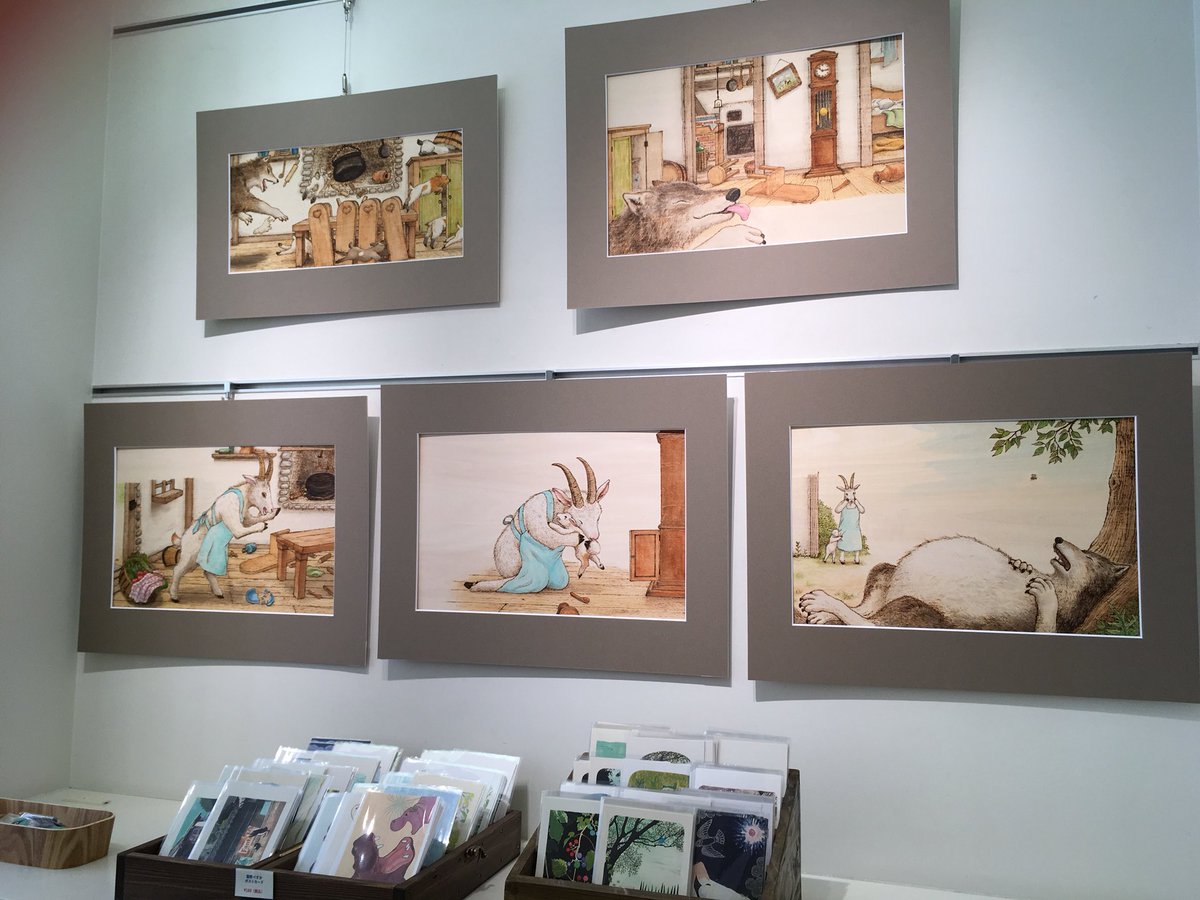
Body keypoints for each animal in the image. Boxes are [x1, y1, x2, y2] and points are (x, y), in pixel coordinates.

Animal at [169, 451, 280, 601]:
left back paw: (218, 593)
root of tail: (181, 540)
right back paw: (174, 596)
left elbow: (254, 520)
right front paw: (263, 525)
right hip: (189, 558)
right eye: (263, 493)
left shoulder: (246, 519)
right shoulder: (236, 526)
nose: (269, 508)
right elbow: (241, 531)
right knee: (177, 570)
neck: (242, 497)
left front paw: (274, 513)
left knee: (207, 573)